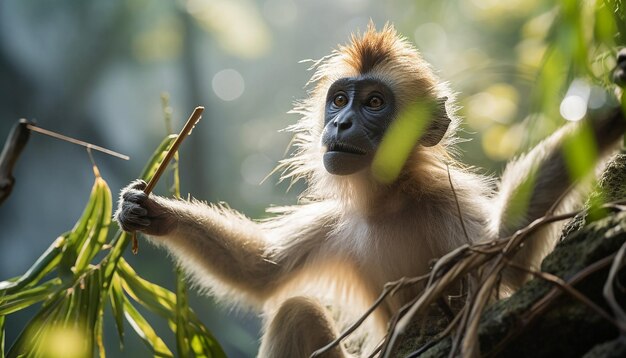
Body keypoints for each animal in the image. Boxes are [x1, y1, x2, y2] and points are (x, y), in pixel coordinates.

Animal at [113, 23, 624, 356]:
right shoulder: (340, 220)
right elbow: (263, 272)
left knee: (296, 309)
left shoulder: (446, 203)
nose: (340, 123)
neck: (389, 201)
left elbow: (506, 270)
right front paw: (151, 211)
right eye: (340, 100)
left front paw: (607, 114)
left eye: (375, 103)